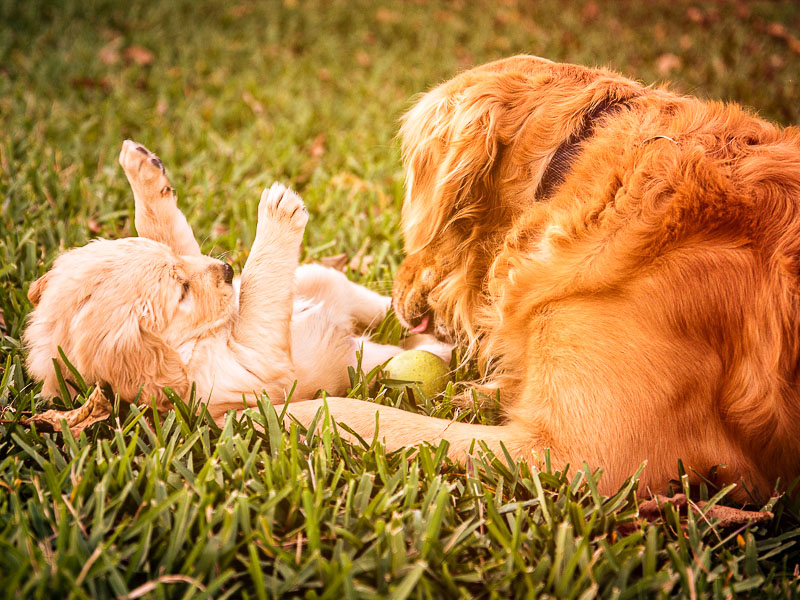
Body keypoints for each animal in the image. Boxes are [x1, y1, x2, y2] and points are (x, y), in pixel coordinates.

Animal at [24, 141, 418, 422]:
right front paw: (277, 213)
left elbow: (166, 230)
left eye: (178, 267)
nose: (228, 270)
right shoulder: (251, 371)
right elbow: (256, 301)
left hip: (320, 277)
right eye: (181, 293)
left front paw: (143, 173)